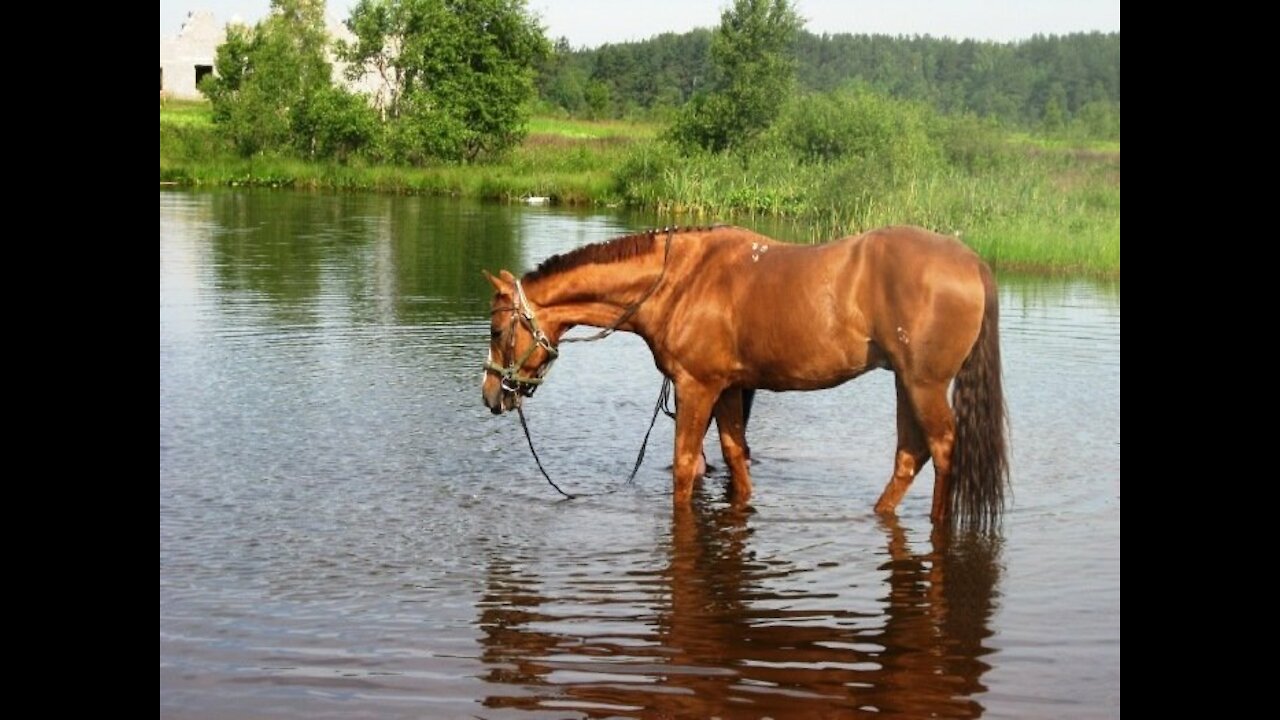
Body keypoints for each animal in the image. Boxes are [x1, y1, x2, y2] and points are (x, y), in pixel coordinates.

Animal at [481, 225, 1008, 527]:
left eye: (496, 329)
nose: (491, 394)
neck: (678, 281)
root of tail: (973, 262)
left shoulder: (696, 387)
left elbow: (686, 466)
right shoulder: (730, 388)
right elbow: (736, 457)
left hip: (924, 384)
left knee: (943, 449)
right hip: (905, 383)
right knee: (909, 455)